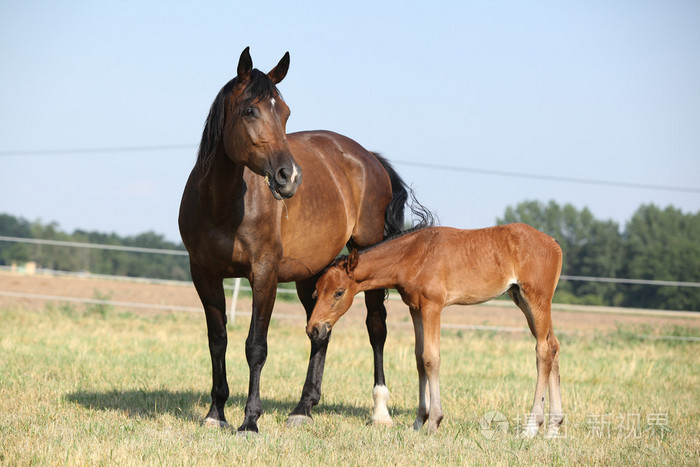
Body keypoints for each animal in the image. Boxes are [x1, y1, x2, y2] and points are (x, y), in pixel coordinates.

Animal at [178, 48, 426, 436]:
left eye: (285, 113)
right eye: (250, 111)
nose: (290, 177)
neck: (221, 203)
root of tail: (368, 158)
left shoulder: (264, 276)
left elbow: (256, 346)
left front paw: (250, 421)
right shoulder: (203, 274)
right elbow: (217, 341)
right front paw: (215, 413)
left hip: (366, 260)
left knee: (376, 327)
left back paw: (380, 411)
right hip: (312, 274)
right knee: (320, 331)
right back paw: (303, 408)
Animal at [308, 224, 568, 438]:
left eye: (339, 292)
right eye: (316, 291)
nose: (314, 329)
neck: (412, 254)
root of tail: (553, 242)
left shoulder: (432, 306)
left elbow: (431, 359)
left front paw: (433, 421)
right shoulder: (415, 308)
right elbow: (418, 359)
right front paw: (417, 422)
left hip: (536, 300)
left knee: (543, 351)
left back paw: (532, 426)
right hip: (522, 299)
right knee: (553, 346)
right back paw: (554, 426)